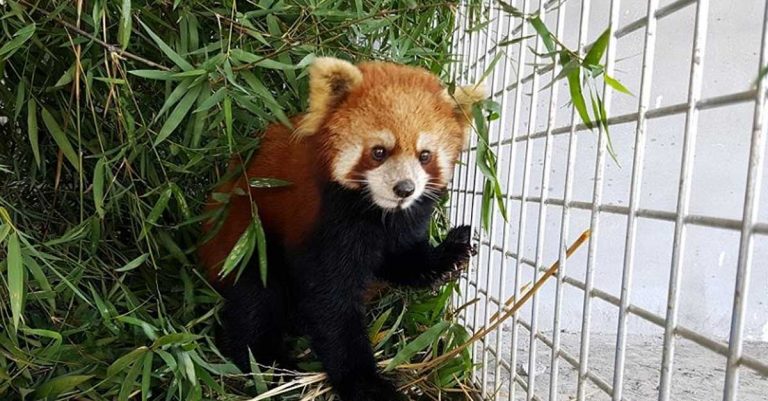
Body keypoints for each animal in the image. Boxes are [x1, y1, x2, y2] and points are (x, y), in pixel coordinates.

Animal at [198, 57, 486, 400]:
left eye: (425, 155)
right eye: (379, 151)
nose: (404, 189)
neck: (379, 214)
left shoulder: (407, 221)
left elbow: (404, 259)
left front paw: (449, 254)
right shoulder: (327, 223)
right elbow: (330, 303)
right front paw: (365, 383)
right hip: (246, 236)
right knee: (254, 296)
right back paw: (270, 365)